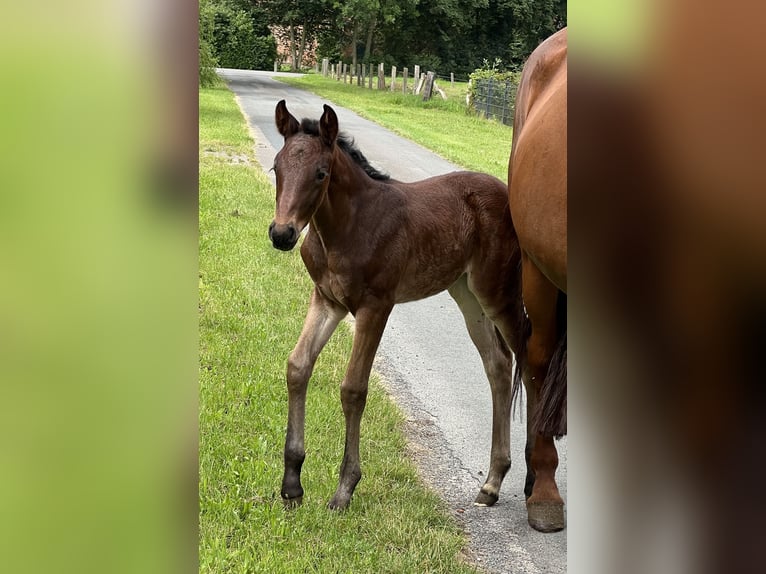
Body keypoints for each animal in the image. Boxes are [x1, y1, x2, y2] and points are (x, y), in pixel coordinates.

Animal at [268, 102, 536, 516]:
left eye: (321, 173)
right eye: (276, 167)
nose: (282, 234)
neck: (348, 227)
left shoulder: (376, 306)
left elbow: (353, 389)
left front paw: (344, 489)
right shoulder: (327, 300)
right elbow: (297, 367)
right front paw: (292, 484)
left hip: (498, 292)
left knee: (530, 361)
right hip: (467, 294)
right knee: (498, 363)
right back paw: (491, 483)